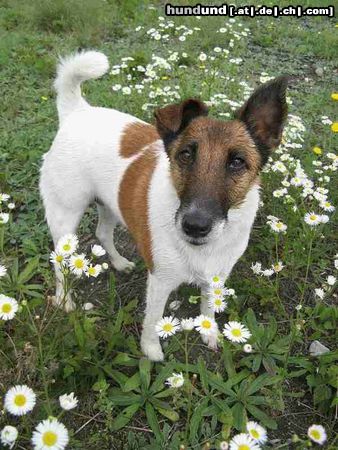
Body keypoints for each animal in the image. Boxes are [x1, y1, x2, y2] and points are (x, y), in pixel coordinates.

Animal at [39, 49, 288, 360]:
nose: (195, 226)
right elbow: (153, 319)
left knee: (102, 233)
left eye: (237, 162)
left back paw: (119, 262)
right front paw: (151, 351)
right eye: (185, 154)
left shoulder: (217, 277)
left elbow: (208, 307)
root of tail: (78, 111)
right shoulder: (160, 280)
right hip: (65, 217)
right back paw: (64, 300)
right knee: (59, 261)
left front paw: (209, 332)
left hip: (110, 203)